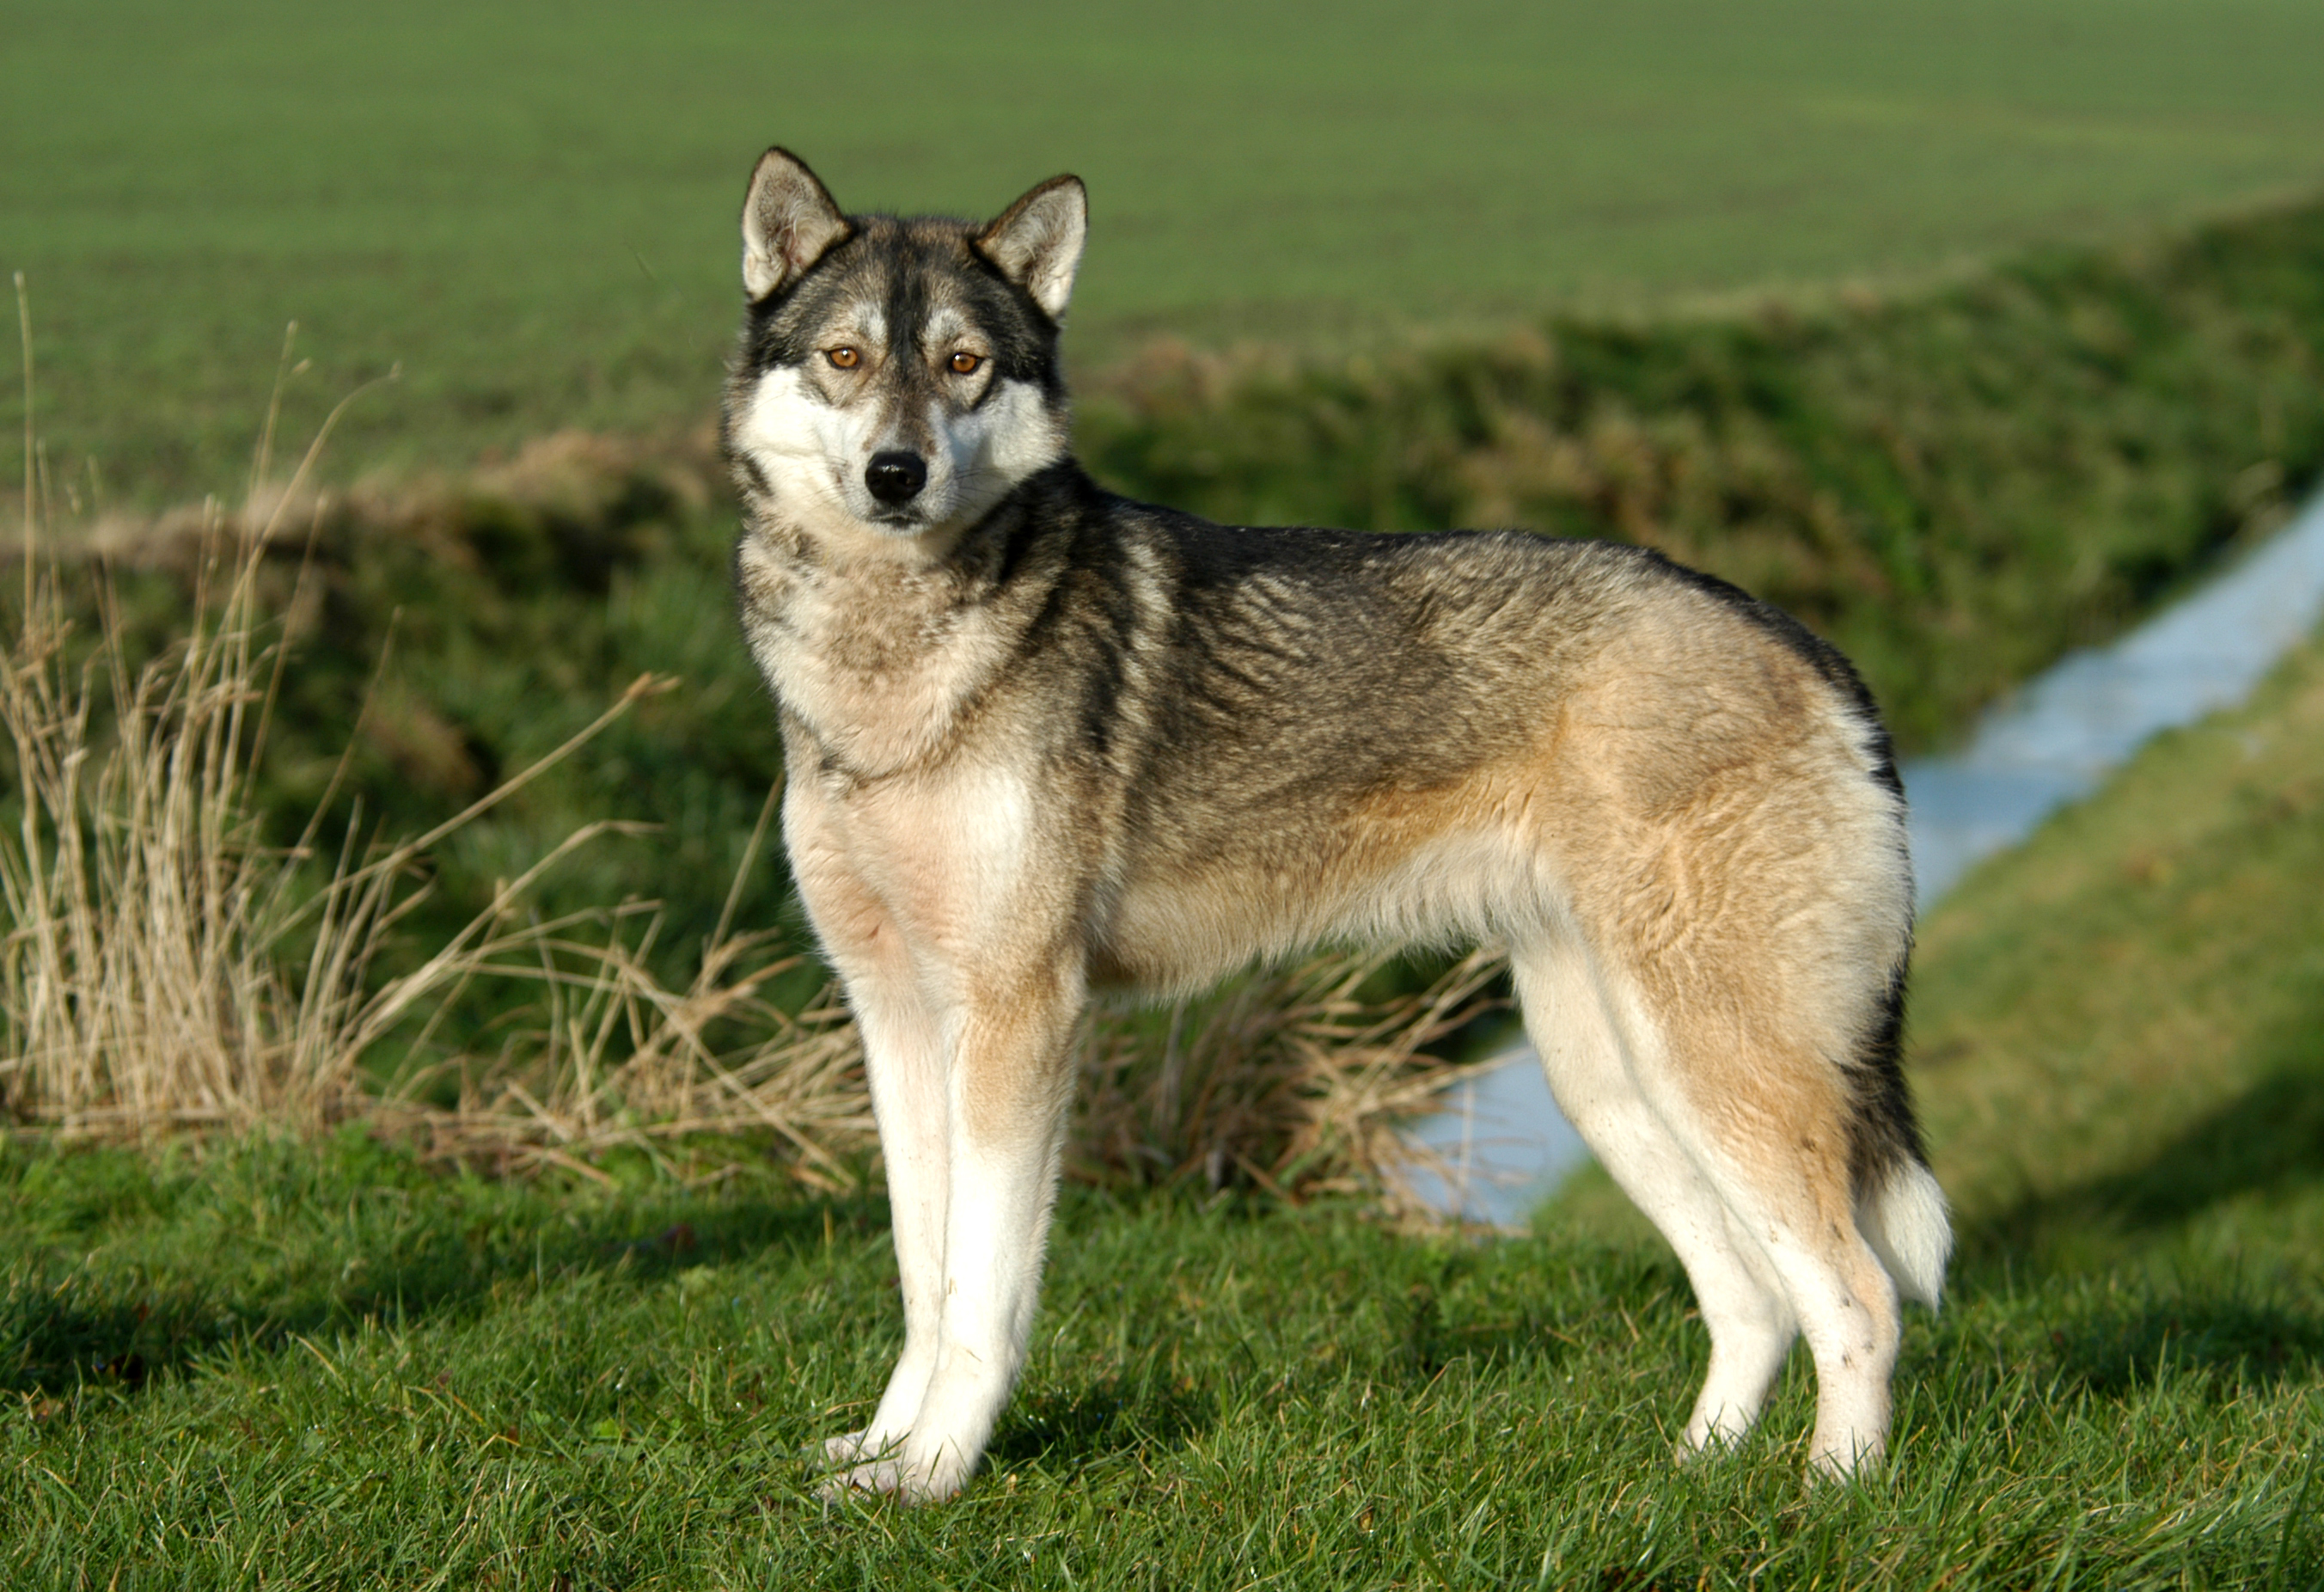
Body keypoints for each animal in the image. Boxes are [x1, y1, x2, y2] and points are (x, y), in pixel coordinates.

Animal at [720, 149, 1942, 1505]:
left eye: (962, 363)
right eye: (843, 357)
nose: (897, 474)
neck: (893, 666)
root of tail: (1812, 646)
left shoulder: (1018, 1023)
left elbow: (980, 1299)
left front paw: (935, 1476)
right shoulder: (893, 1016)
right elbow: (920, 1282)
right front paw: (879, 1459)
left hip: (1715, 1068)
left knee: (1861, 1297)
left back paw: (1830, 1494)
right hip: (1613, 1079)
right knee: (1752, 1299)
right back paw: (1689, 1475)